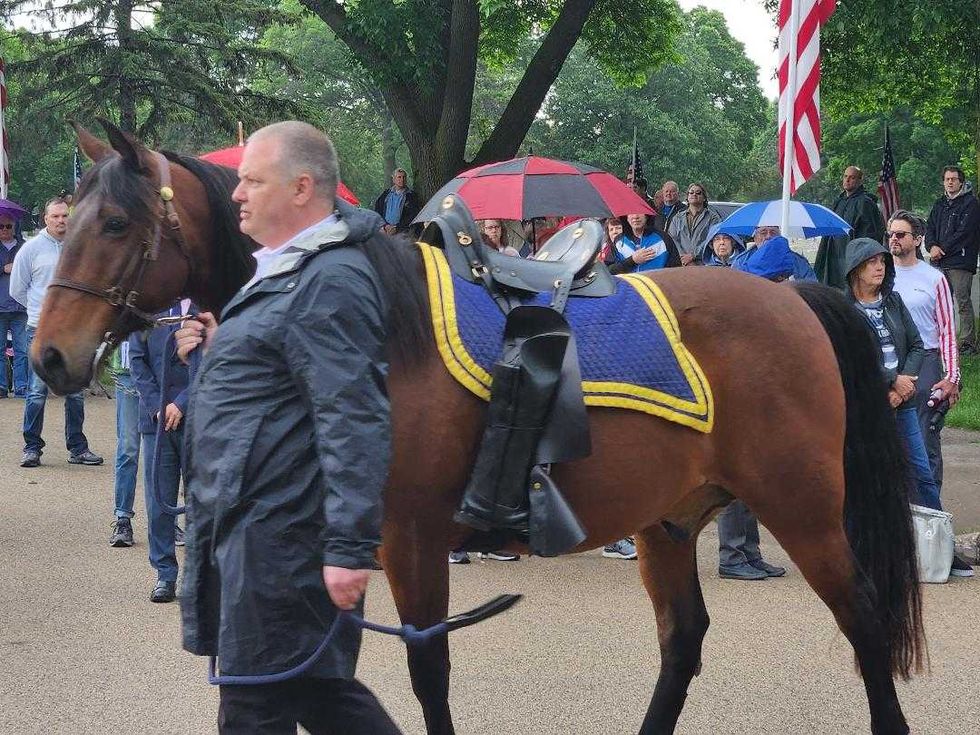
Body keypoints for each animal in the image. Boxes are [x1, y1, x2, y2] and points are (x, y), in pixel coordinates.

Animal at [32, 121, 924, 735]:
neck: (386, 332)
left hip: (802, 507)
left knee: (864, 619)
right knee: (684, 640)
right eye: (69, 220)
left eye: (116, 224)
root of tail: (793, 293)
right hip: (668, 520)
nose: (48, 355)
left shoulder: (410, 537)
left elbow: (429, 670)